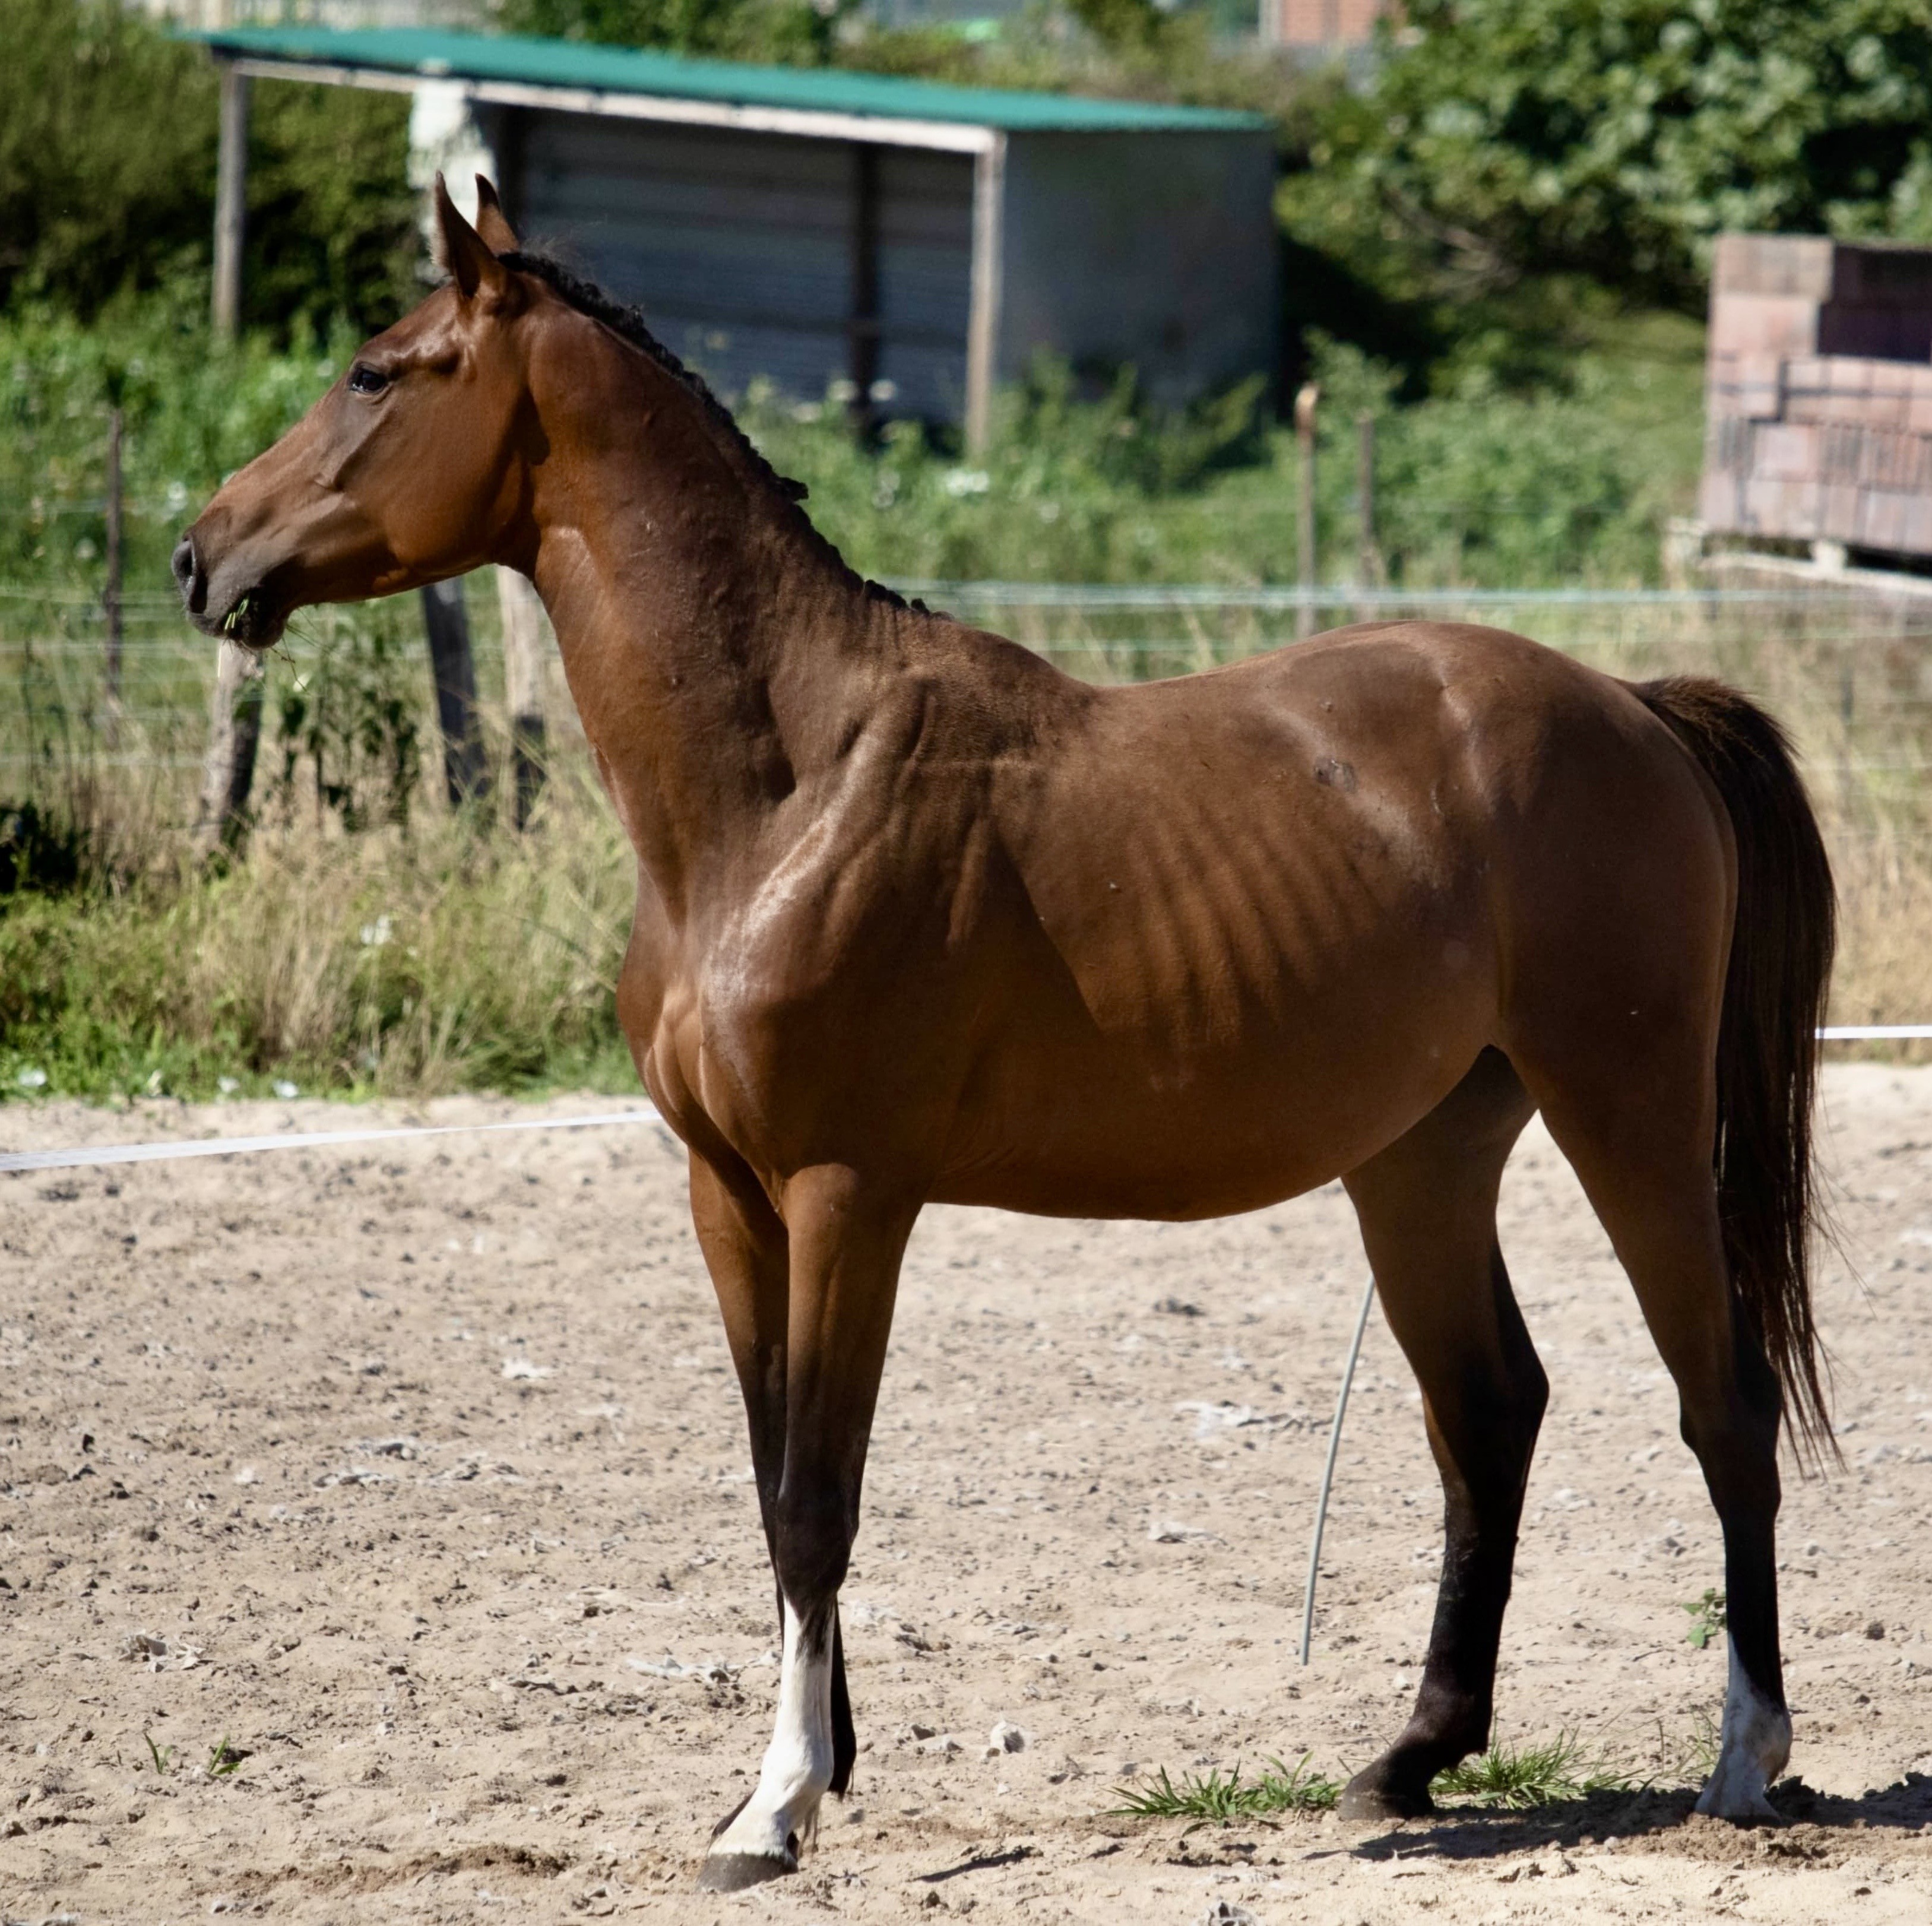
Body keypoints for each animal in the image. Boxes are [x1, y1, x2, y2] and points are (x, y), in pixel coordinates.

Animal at [174, 177, 1835, 1888]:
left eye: (375, 372)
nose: (197, 552)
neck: (785, 788)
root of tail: (1633, 706)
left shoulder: (847, 1195)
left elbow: (818, 1496)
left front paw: (777, 1803)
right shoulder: (727, 1195)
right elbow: (773, 1484)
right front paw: (817, 1762)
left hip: (1628, 1114)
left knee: (1721, 1405)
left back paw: (1745, 1756)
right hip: (1420, 1159)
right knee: (1488, 1413)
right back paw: (1411, 1757)